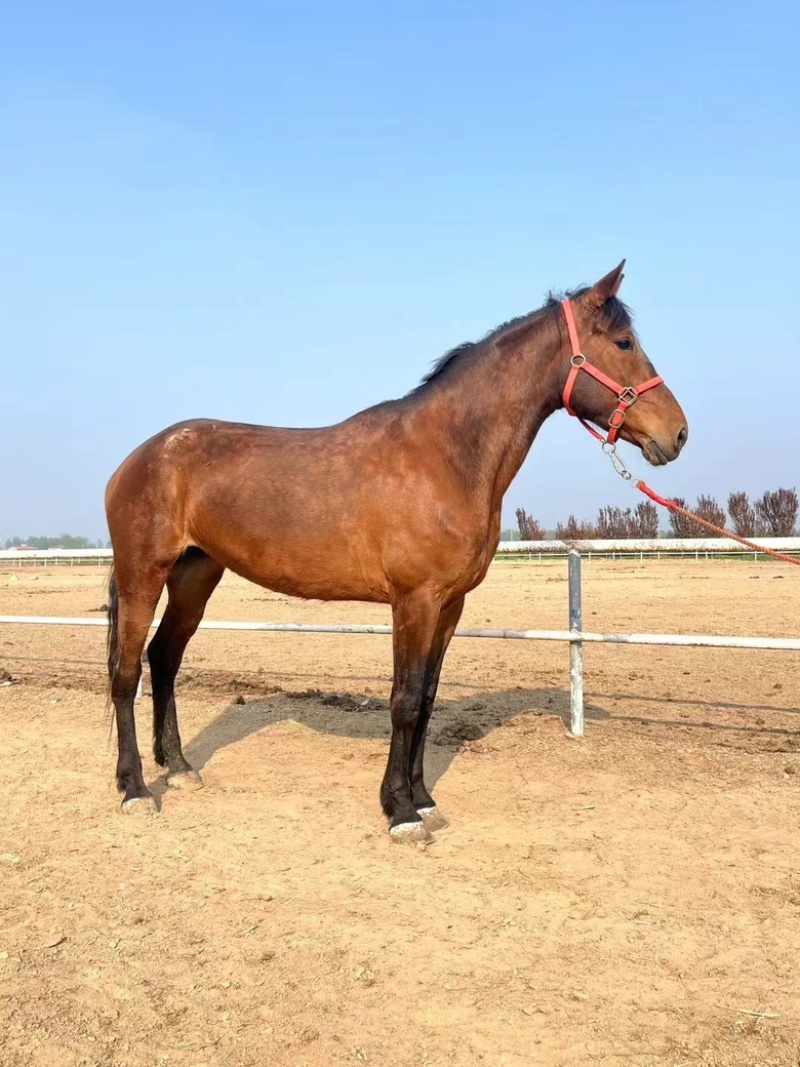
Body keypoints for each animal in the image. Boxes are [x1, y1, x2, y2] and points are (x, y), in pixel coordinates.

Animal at [105, 262, 688, 842]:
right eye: (624, 342)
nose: (678, 434)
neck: (445, 456)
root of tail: (139, 458)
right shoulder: (415, 601)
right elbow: (404, 701)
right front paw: (400, 812)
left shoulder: (449, 605)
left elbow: (427, 698)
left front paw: (424, 799)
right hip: (143, 575)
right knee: (127, 673)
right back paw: (135, 789)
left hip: (195, 577)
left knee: (164, 658)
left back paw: (179, 767)